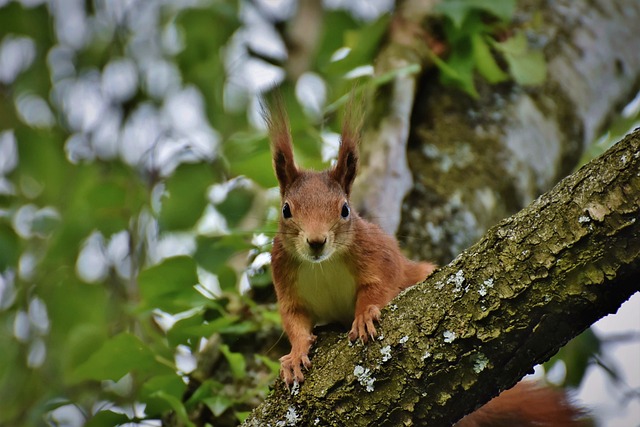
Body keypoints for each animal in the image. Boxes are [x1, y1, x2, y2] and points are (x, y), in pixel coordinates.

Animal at [264, 98, 584, 427]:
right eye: (286, 210)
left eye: (344, 210)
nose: (316, 242)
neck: (322, 265)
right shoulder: (284, 275)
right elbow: (294, 319)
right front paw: (295, 355)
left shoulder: (377, 253)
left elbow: (379, 286)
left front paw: (364, 315)